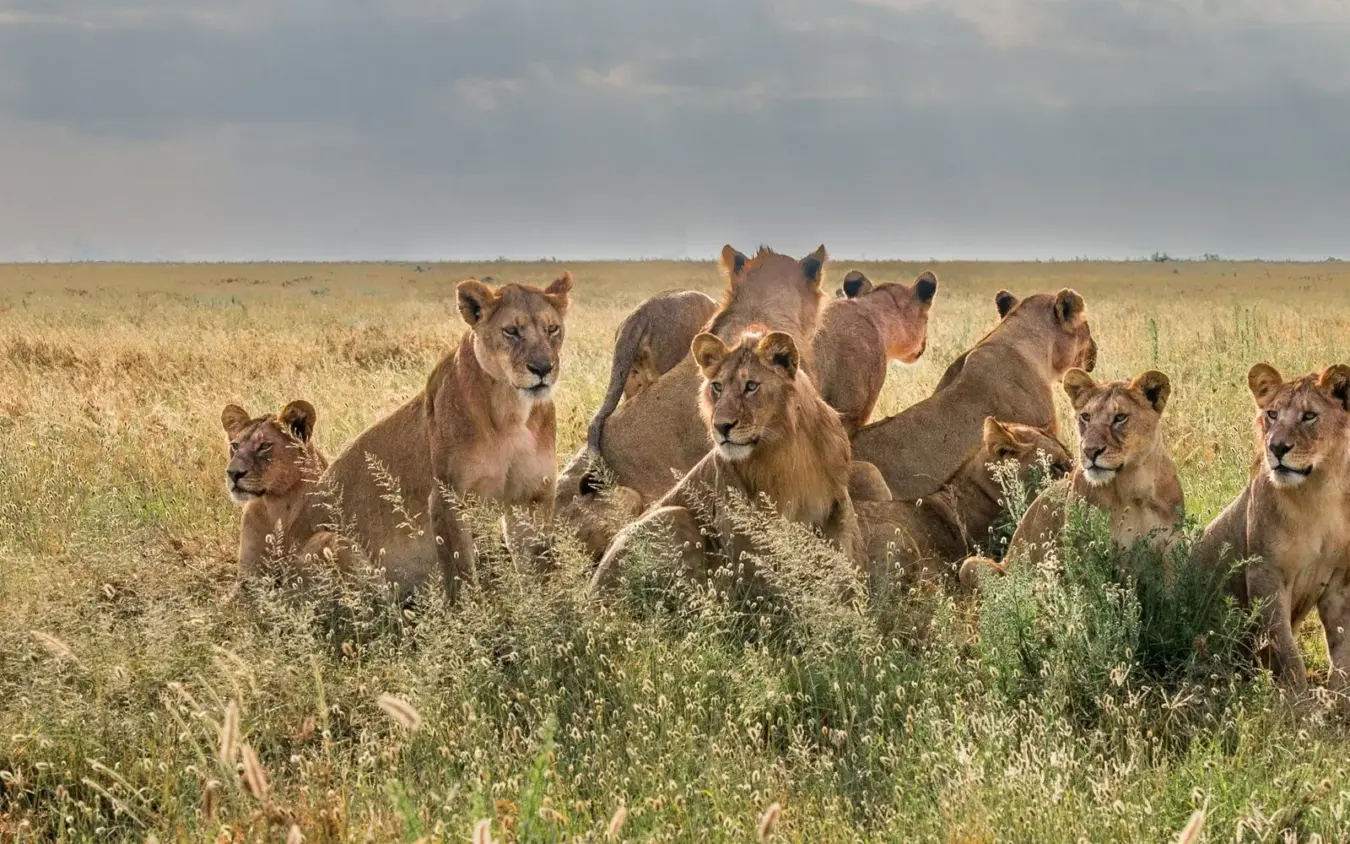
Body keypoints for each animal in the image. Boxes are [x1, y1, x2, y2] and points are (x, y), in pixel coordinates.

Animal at [320, 272, 574, 601]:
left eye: (552, 329)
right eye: (511, 331)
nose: (543, 368)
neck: (512, 413)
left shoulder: (531, 496)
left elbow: (541, 568)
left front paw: (552, 604)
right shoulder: (447, 498)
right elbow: (461, 575)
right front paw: (474, 612)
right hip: (334, 544)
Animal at [589, 329, 863, 593]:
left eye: (751, 386)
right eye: (718, 387)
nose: (720, 426)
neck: (786, 449)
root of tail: (591, 590)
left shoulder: (836, 500)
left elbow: (843, 558)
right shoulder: (737, 520)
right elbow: (765, 578)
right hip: (674, 516)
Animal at [958, 369, 1184, 591]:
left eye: (1120, 417)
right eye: (1086, 417)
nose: (1090, 451)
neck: (1133, 485)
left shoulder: (1169, 553)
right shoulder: (1085, 554)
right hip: (971, 565)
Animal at [1189, 363, 1350, 693]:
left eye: (1309, 415)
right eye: (1272, 415)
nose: (1276, 447)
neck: (1319, 491)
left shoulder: (1339, 582)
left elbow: (1343, 649)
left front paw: (1339, 698)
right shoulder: (1265, 573)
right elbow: (1284, 650)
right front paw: (1297, 700)